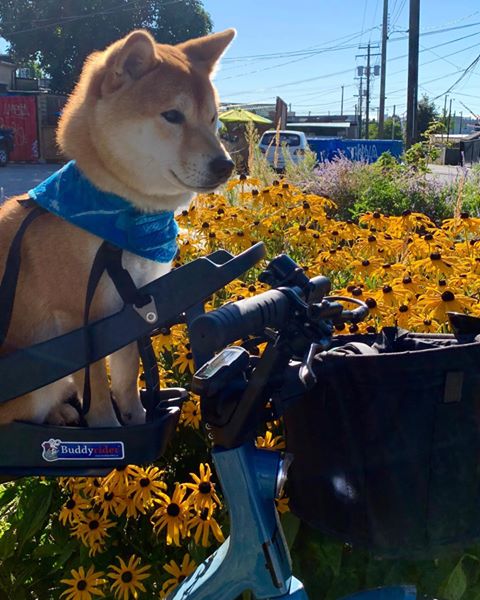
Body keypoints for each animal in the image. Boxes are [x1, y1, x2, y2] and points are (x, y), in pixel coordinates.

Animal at [0, 28, 235, 427]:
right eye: (172, 115)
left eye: (213, 119)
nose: (226, 165)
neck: (125, 216)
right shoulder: (82, 320)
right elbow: (96, 387)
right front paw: (108, 428)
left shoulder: (132, 308)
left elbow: (126, 378)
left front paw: (138, 419)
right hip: (37, 386)